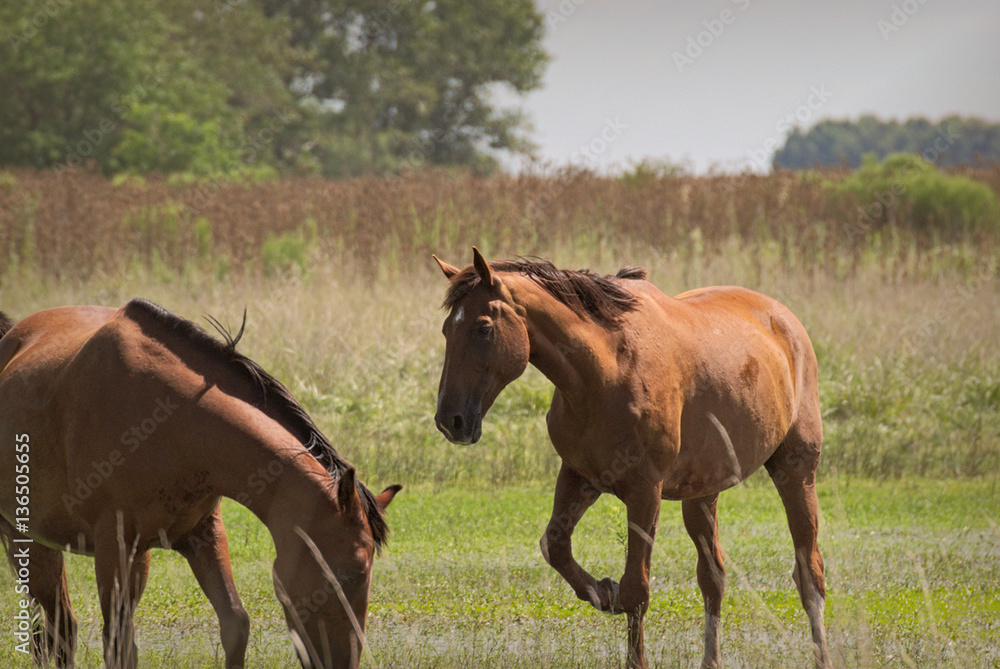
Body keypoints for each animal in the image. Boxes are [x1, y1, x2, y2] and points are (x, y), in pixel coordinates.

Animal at [0, 299, 400, 669]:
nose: (345, 662)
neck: (170, 421)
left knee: (57, 630)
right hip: (23, 539)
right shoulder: (114, 545)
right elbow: (119, 645)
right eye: (351, 574)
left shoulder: (202, 534)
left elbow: (235, 625)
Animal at [432, 248, 829, 669]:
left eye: (483, 328)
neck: (604, 370)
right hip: (702, 492)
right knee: (713, 577)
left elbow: (637, 588)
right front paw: (602, 591)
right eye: (446, 331)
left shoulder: (644, 490)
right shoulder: (578, 476)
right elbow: (555, 545)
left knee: (810, 574)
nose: (450, 421)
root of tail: (785, 320)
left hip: (795, 471)